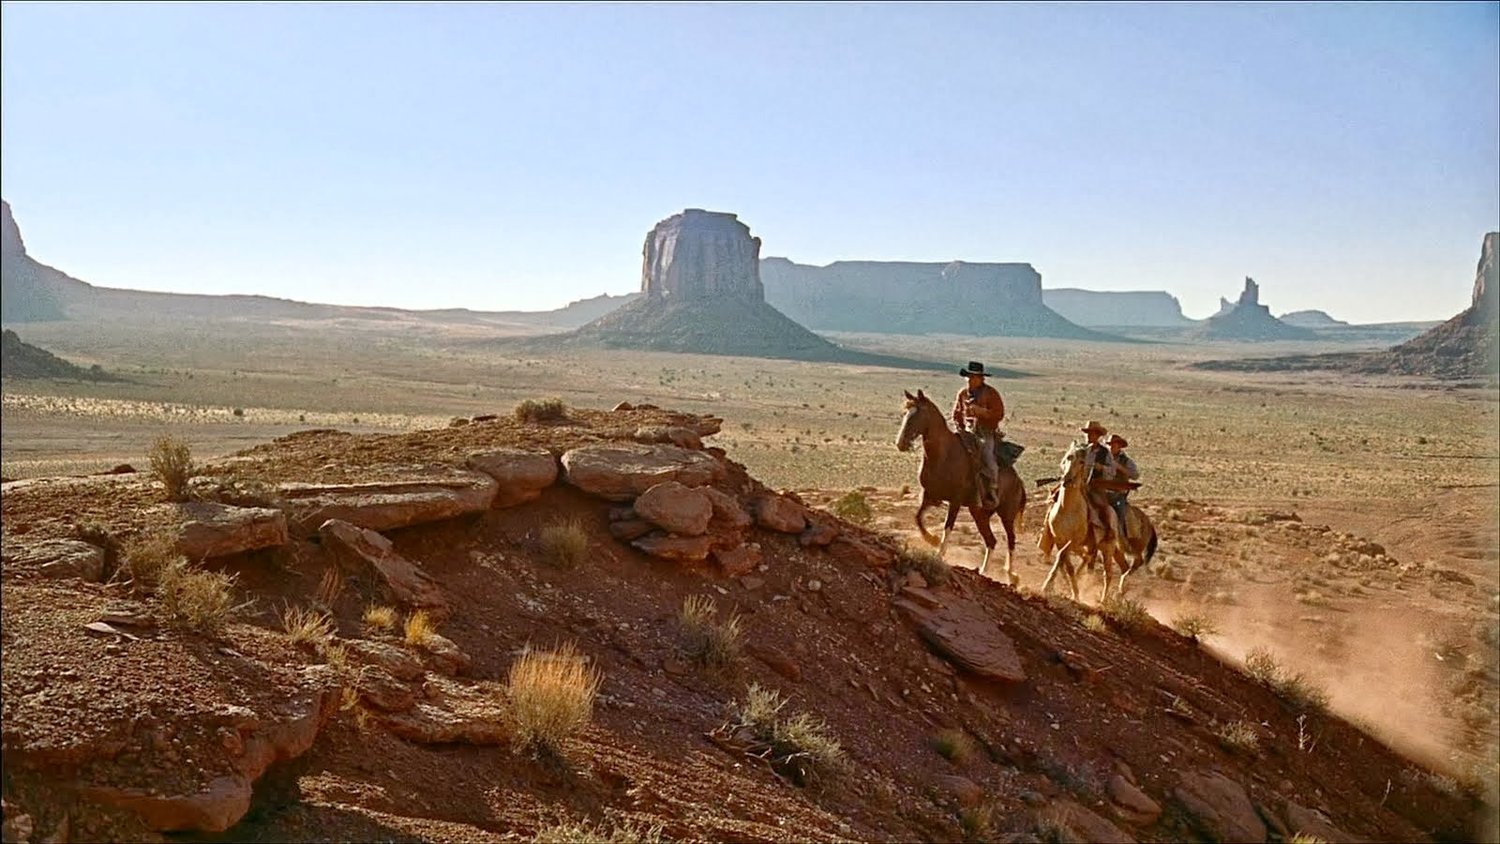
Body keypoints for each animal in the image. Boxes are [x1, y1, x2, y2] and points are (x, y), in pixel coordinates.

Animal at [894, 386, 1026, 581]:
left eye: (918, 415)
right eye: (905, 413)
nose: (901, 443)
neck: (942, 455)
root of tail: (1019, 483)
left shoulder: (955, 501)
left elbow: (947, 527)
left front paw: (939, 553)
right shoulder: (929, 496)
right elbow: (917, 518)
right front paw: (932, 540)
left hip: (1006, 515)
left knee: (1011, 540)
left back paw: (1011, 575)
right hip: (979, 512)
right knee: (991, 541)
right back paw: (983, 571)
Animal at [1044, 446, 1128, 605]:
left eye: (1082, 461)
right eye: (1068, 457)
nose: (1067, 478)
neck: (1066, 508)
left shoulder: (1073, 540)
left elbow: (1061, 556)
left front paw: (1048, 585)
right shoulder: (1060, 539)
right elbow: (1067, 564)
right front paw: (1074, 593)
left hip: (1107, 548)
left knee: (1107, 573)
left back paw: (1103, 600)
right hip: (1088, 545)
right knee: (1086, 557)